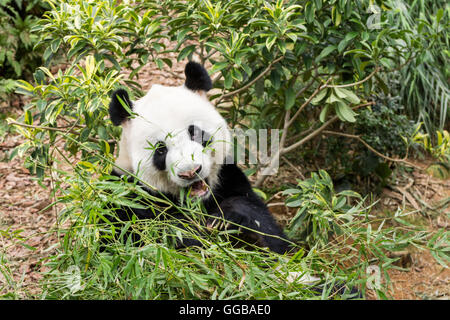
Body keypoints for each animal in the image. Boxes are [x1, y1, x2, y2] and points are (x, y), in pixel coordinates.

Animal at [108, 61, 292, 254]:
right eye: (160, 150)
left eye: (195, 133)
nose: (190, 172)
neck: (197, 202)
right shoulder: (128, 197)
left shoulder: (228, 179)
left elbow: (272, 236)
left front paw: (226, 222)